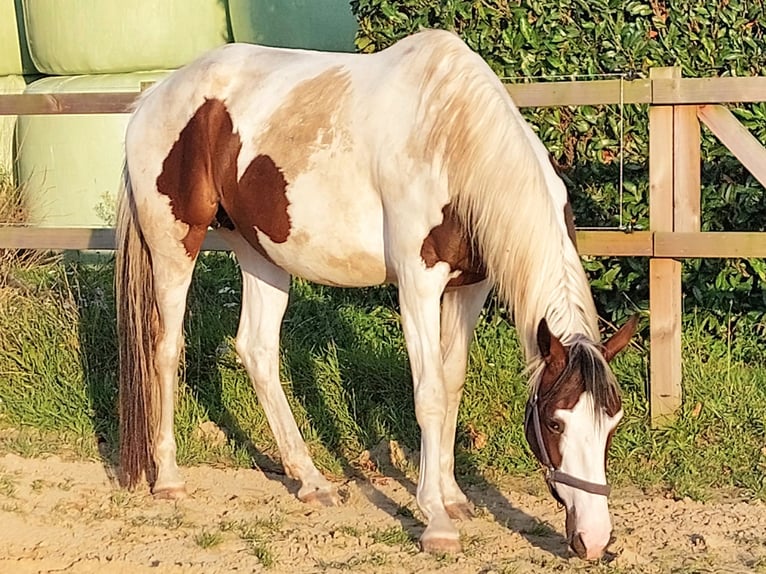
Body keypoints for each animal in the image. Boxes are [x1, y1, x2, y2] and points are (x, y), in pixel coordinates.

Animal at [117, 29, 640, 560]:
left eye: (613, 422)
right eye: (555, 423)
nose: (595, 541)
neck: (451, 141)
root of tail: (152, 97)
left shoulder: (470, 287)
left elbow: (452, 383)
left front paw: (453, 497)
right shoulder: (417, 283)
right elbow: (429, 395)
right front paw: (435, 520)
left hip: (259, 251)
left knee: (257, 349)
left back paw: (311, 480)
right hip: (174, 245)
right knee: (166, 349)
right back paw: (169, 478)